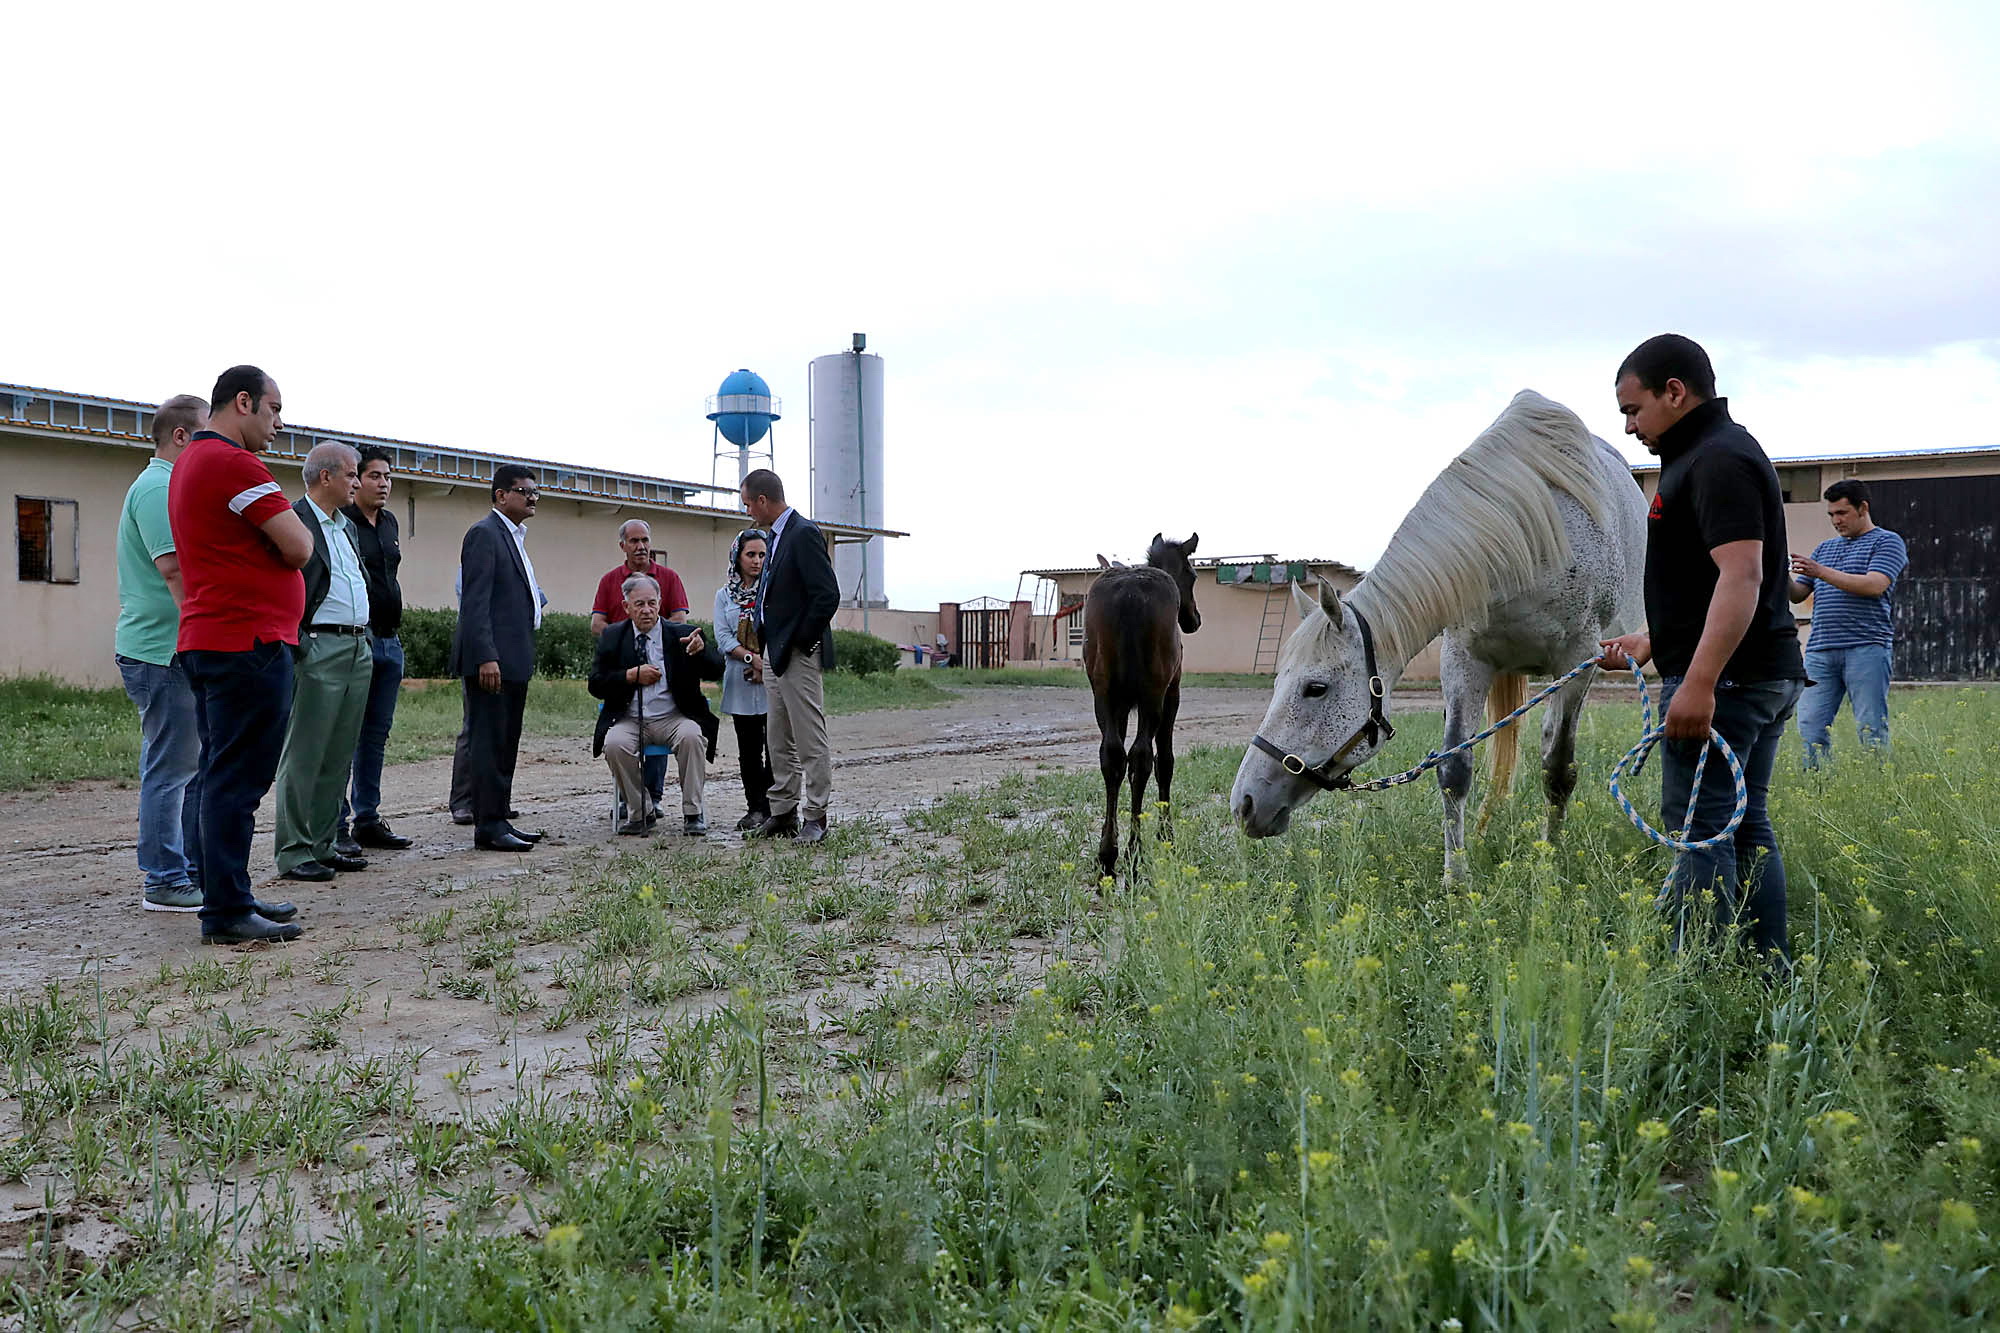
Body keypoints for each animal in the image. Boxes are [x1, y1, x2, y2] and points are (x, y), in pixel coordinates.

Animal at [1232, 390, 1640, 876]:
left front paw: (1548, 862)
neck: (1531, 534)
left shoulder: (1579, 660)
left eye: (1316, 688)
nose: (1245, 804)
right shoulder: (1464, 660)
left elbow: (1558, 770)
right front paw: (1456, 877)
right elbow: (1454, 770)